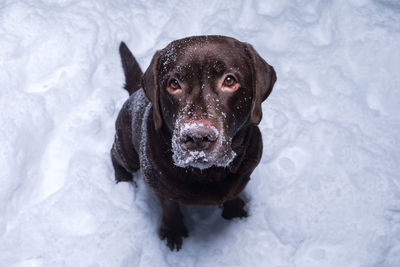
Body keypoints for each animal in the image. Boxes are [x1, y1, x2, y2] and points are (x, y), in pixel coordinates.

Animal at [111, 35, 276, 251]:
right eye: (174, 84)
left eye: (229, 80)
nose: (198, 136)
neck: (206, 175)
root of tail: (136, 91)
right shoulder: (157, 183)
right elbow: (170, 206)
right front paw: (173, 231)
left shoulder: (246, 171)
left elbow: (234, 191)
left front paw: (235, 212)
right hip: (128, 151)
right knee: (115, 155)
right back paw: (123, 180)